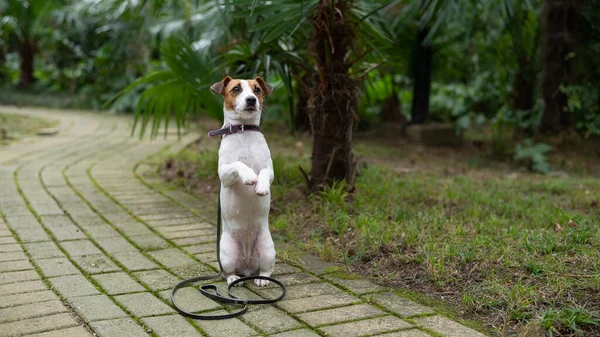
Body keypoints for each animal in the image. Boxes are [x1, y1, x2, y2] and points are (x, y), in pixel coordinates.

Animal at [210, 76, 276, 286]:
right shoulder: (224, 174)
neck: (244, 131)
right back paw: (233, 279)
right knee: (228, 272)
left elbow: (263, 172)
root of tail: (247, 266)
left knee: (266, 269)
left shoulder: (270, 170)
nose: (251, 100)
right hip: (226, 254)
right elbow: (238, 164)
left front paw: (260, 186)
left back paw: (262, 279)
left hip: (268, 249)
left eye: (257, 90)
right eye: (236, 89)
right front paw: (248, 176)